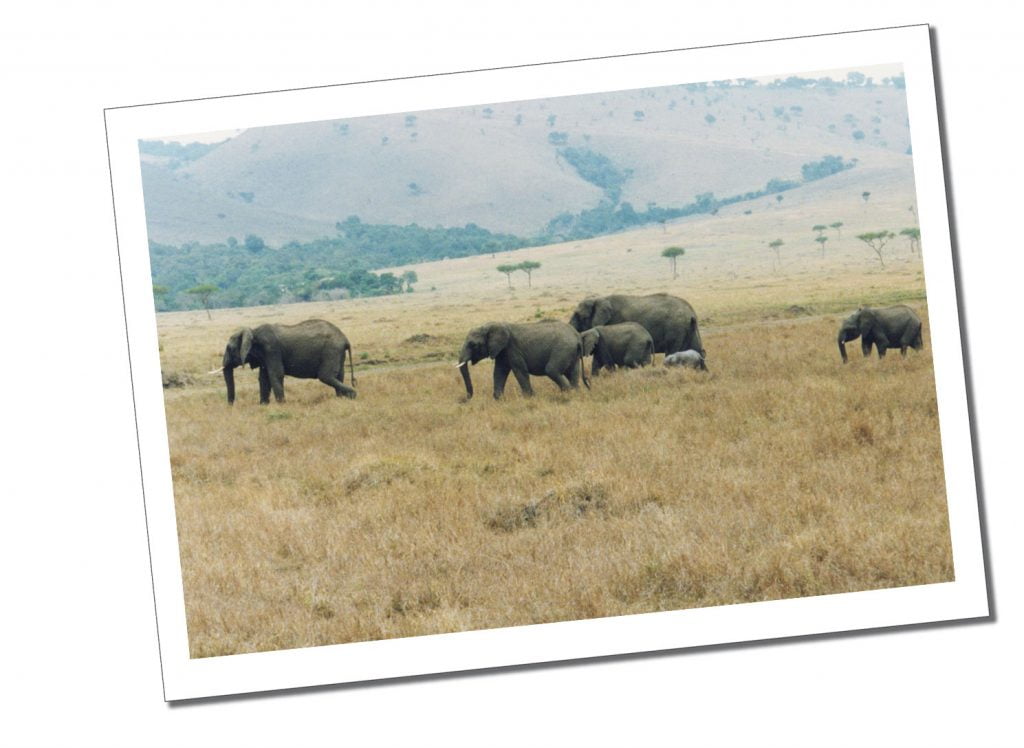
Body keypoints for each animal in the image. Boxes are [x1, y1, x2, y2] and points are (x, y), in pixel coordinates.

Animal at [220, 319, 356, 404]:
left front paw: (282, 405)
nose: (231, 406)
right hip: (337, 353)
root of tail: (345, 339)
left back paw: (353, 395)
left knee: (325, 376)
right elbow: (264, 378)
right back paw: (341, 399)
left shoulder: (271, 349)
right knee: (338, 376)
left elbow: (275, 374)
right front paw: (263, 405)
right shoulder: (265, 355)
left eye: (229, 348)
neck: (253, 331)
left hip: (331, 351)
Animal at [456, 320, 589, 399]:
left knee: (552, 370)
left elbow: (519, 371)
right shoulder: (502, 352)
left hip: (563, 348)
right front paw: (499, 399)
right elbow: (499, 372)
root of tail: (577, 336)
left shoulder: (512, 348)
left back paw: (568, 394)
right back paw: (577, 394)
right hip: (572, 353)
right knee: (573, 373)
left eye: (473, 345)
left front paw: (529, 398)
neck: (491, 325)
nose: (465, 399)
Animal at [569, 293, 704, 359]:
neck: (599, 299)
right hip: (689, 329)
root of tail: (691, 312)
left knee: (672, 351)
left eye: (580, 316)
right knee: (698, 350)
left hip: (676, 329)